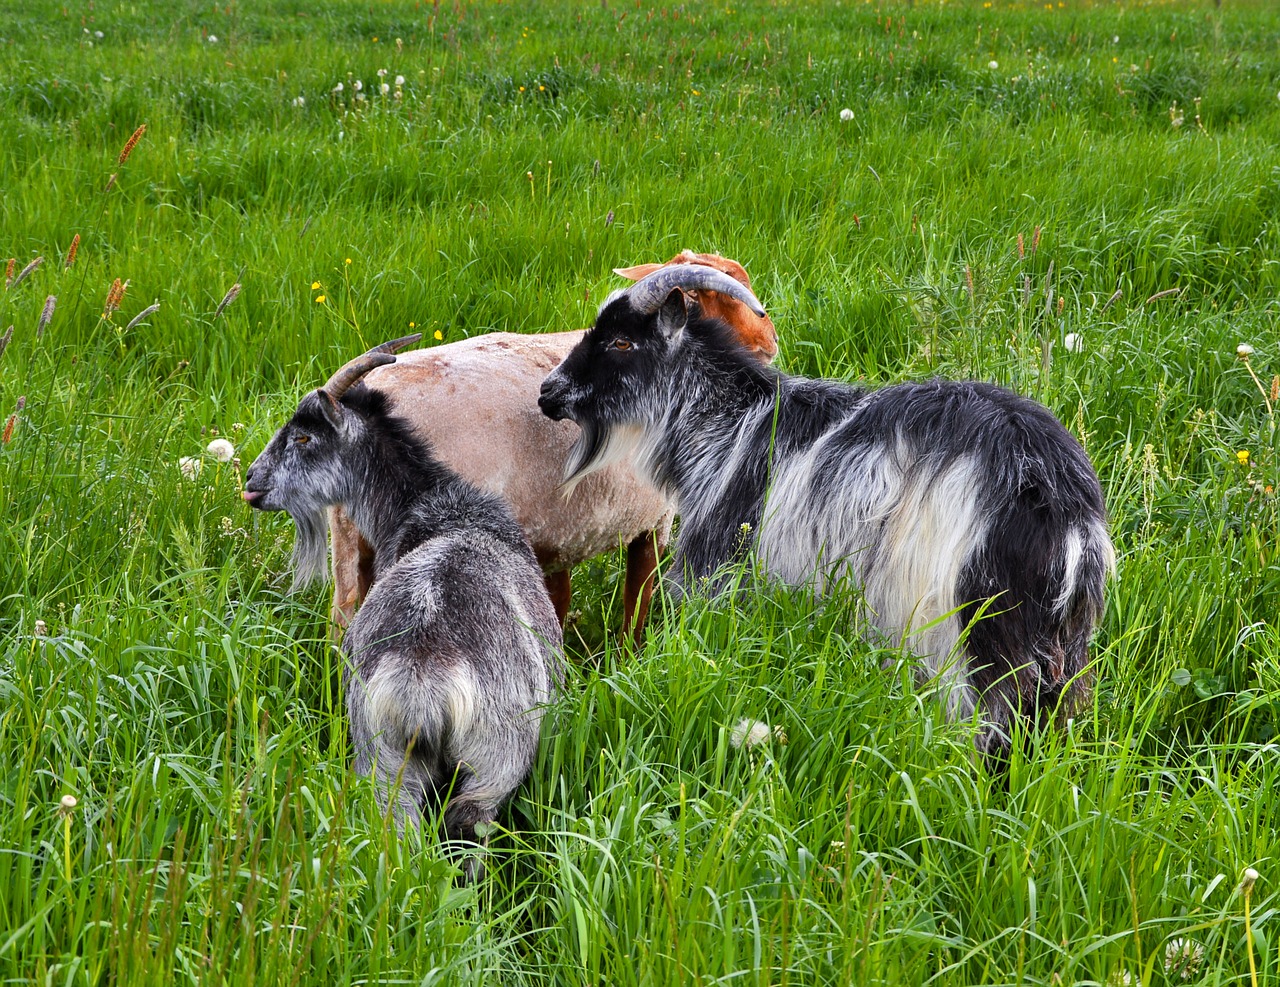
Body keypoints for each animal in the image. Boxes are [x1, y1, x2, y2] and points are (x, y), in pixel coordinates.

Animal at [243, 335, 560, 875]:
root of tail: (423, 672)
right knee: (468, 825)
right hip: (496, 760)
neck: (431, 506)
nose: (251, 481)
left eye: (303, 437)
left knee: (398, 821)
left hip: (383, 752)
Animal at [325, 250, 773, 645]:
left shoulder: (561, 536)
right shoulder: (653, 518)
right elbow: (637, 602)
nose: (770, 341)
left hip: (349, 546)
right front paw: (627, 657)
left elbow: (560, 601)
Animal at [535, 262, 1116, 757]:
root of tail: (1057, 502)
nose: (547, 392)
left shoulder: (720, 574)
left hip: (966, 633)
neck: (729, 424)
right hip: (1060, 648)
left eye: (622, 341)